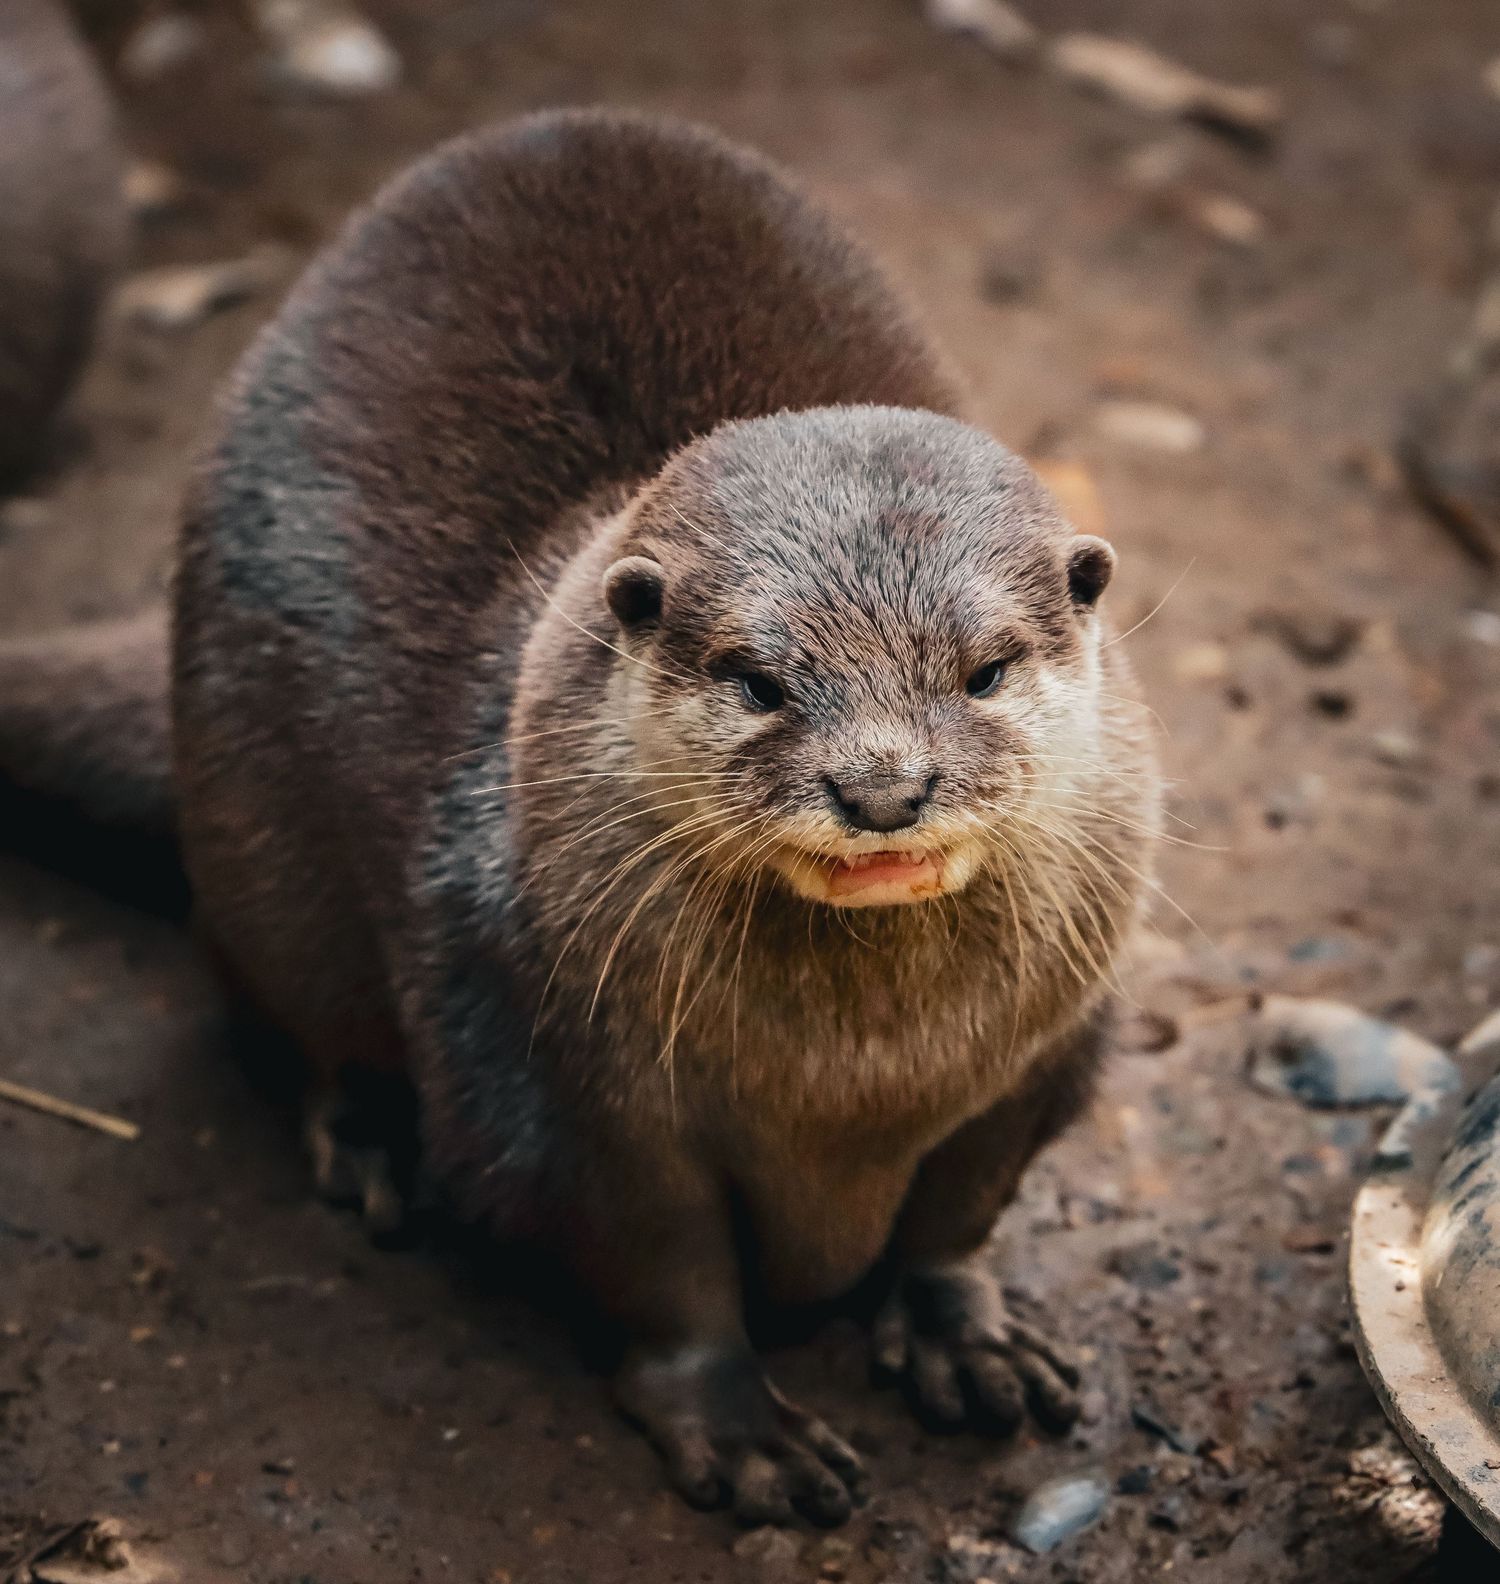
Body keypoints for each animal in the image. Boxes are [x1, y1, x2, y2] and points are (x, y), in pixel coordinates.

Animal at [0, 109, 1159, 1525]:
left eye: (985, 671)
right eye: (759, 680)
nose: (883, 788)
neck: (858, 1080)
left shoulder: (1047, 1054)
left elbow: (963, 1209)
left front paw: (966, 1333)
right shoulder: (557, 1070)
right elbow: (657, 1260)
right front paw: (736, 1422)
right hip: (249, 827)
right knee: (280, 999)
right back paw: (373, 1145)